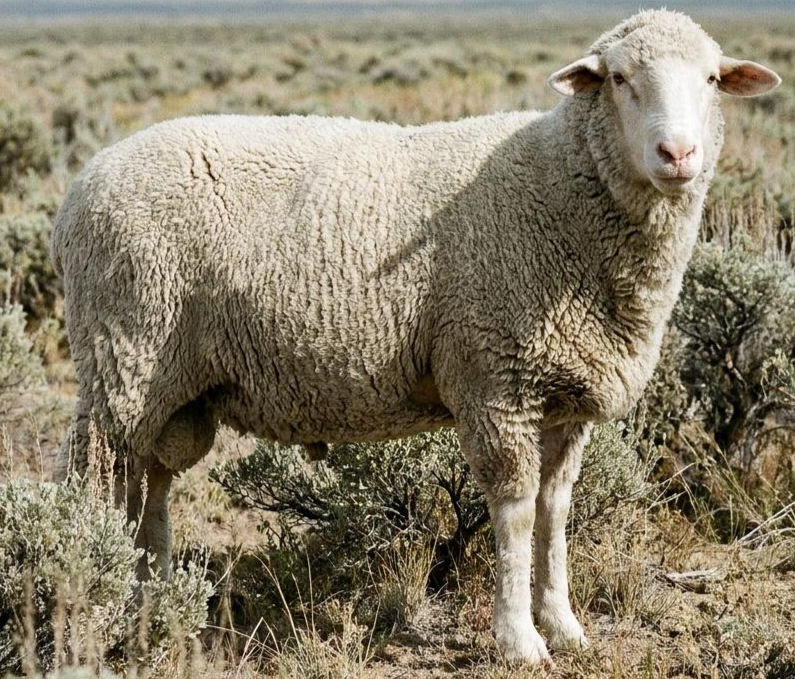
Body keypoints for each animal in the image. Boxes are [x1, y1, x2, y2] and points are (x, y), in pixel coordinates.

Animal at [51, 9, 780, 663]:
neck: (563, 187)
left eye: (711, 79)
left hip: (169, 389)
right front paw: (519, 640)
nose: (677, 154)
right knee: (90, 485)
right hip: (124, 358)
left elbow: (555, 510)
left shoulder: (564, 398)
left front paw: (564, 624)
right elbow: (515, 511)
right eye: (621, 78)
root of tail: (79, 187)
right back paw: (93, 599)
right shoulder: (495, 376)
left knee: (149, 490)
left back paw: (153, 602)